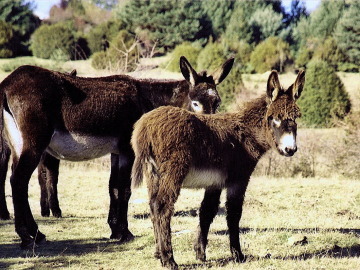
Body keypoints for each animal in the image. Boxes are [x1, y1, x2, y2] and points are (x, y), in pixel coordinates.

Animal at [131, 69, 306, 268]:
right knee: (162, 207)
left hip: (152, 174)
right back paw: (169, 260)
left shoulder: (214, 183)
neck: (246, 133)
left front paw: (200, 253)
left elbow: (207, 212)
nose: (290, 150)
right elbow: (234, 214)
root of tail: (145, 126)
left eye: (295, 119)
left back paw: (159, 254)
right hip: (173, 172)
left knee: (153, 206)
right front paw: (238, 255)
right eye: (273, 118)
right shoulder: (238, 179)